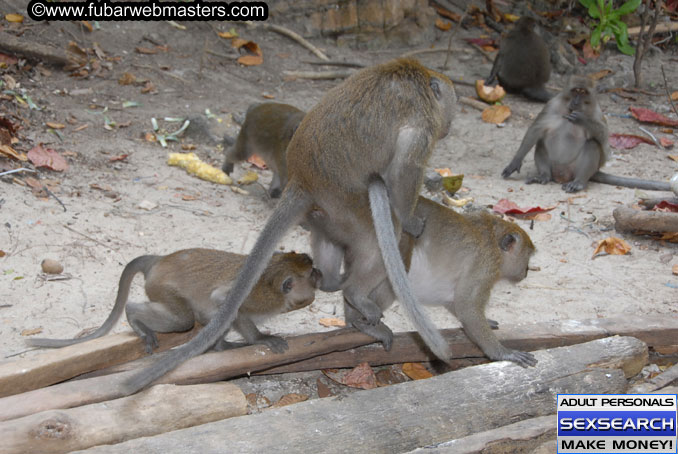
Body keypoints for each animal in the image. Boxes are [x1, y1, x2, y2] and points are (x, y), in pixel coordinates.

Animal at [27, 250, 324, 352]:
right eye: (311, 273)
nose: (321, 273)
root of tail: (157, 260)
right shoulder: (259, 296)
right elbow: (225, 303)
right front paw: (259, 339)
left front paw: (221, 344)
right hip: (160, 287)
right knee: (183, 320)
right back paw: (135, 317)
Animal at [125, 58, 460, 392]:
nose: (448, 128)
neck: (417, 77)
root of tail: (300, 180)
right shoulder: (421, 128)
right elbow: (405, 173)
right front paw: (412, 220)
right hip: (349, 205)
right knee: (378, 241)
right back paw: (355, 297)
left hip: (327, 213)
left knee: (331, 238)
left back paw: (333, 287)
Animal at [348, 197, 540, 368]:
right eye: (526, 257)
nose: (526, 270)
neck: (493, 239)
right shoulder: (485, 266)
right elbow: (466, 308)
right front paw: (503, 353)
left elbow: (454, 301)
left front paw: (487, 321)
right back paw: (358, 312)